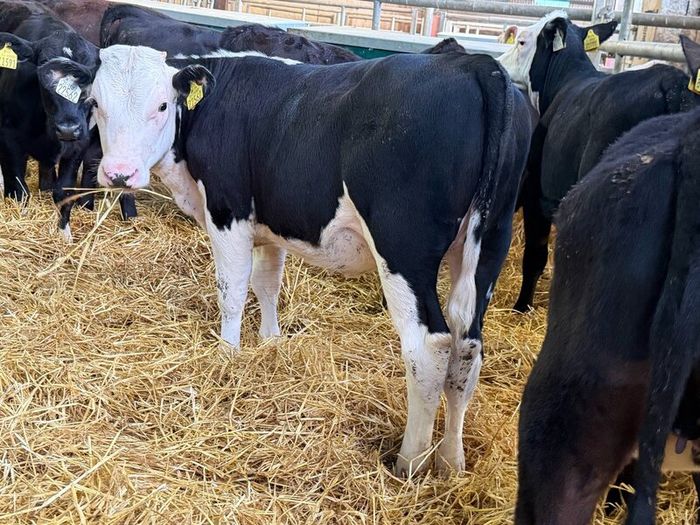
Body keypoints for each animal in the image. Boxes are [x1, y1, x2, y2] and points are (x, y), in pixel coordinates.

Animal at [87, 45, 532, 476]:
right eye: (95, 102)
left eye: (162, 105)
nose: (120, 174)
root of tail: (473, 64)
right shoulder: (271, 223)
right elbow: (267, 284)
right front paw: (270, 341)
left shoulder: (228, 212)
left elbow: (232, 291)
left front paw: (227, 354)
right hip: (488, 244)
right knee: (466, 348)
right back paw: (451, 463)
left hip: (403, 247)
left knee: (429, 347)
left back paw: (410, 463)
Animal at [497, 12, 700, 312]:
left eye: (522, 41)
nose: (499, 62)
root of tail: (672, 86)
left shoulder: (537, 194)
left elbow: (534, 257)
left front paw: (521, 307)